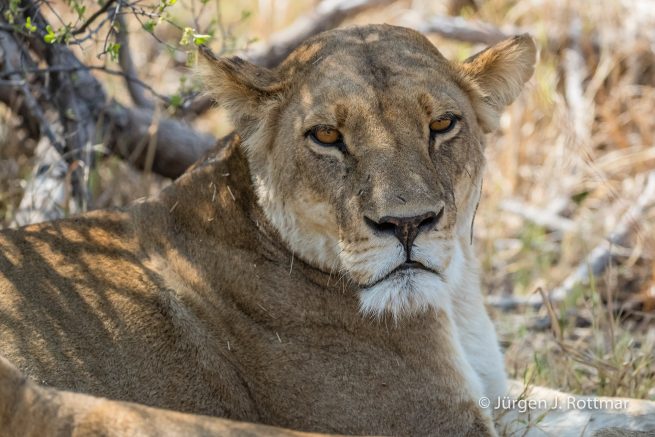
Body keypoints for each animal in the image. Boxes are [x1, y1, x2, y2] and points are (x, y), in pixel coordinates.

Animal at [1, 24, 653, 436]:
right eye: (327, 136)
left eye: (444, 124)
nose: (407, 224)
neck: (452, 303)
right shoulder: (430, 424)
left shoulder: (500, 395)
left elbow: (614, 410)